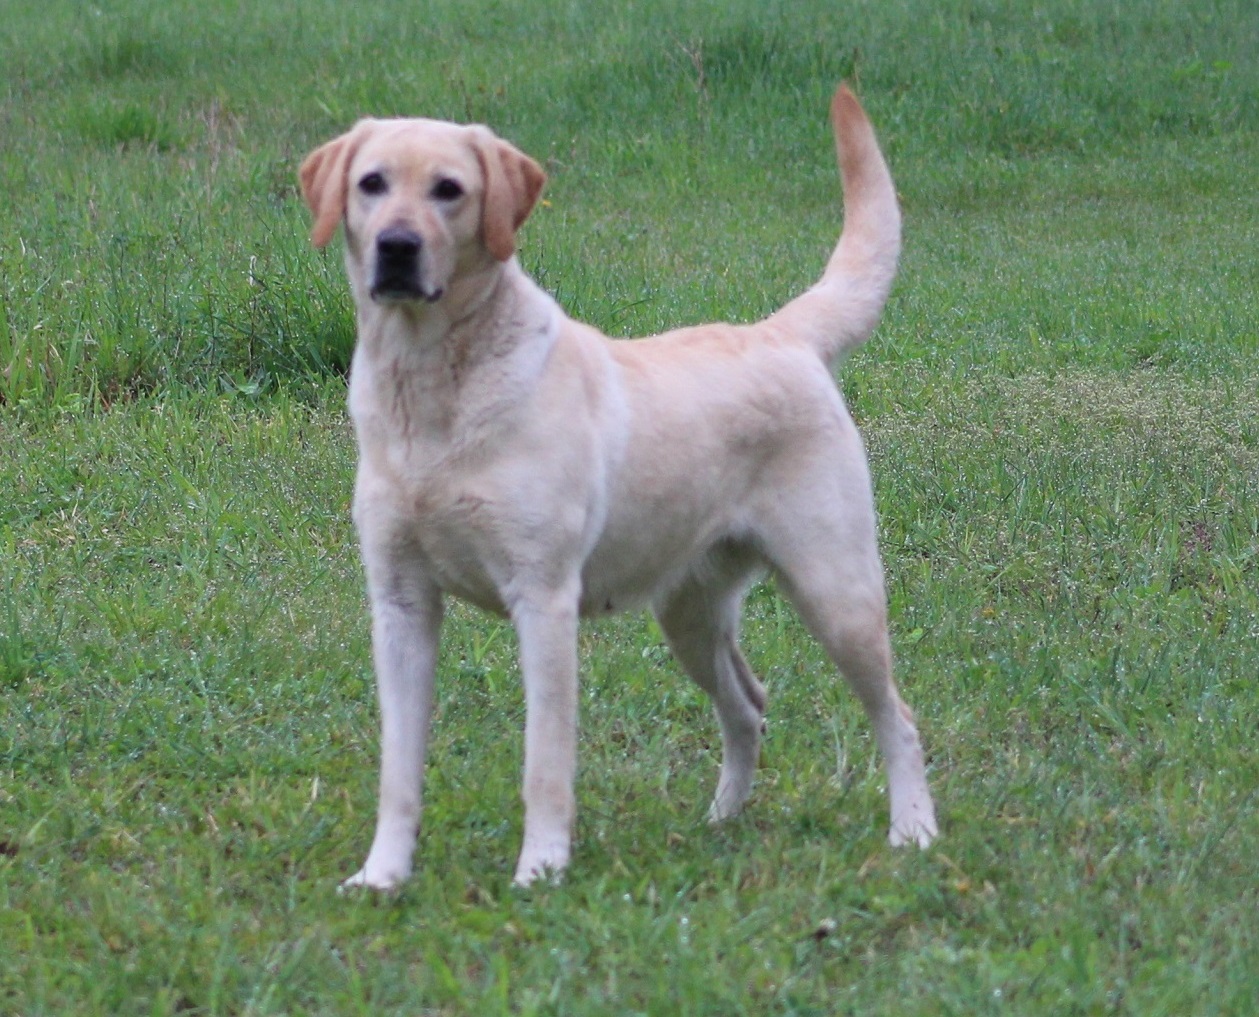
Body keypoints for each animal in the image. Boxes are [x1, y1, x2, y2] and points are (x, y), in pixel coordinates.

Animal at [302, 85, 936, 891]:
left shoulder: (542, 602)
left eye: (449, 189)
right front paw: (383, 875)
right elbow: (399, 768)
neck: (431, 385)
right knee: (748, 705)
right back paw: (721, 821)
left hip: (837, 593)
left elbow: (544, 762)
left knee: (897, 717)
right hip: (689, 615)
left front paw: (540, 870)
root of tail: (780, 334)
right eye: (371, 184)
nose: (397, 246)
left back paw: (912, 829)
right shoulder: (400, 605)